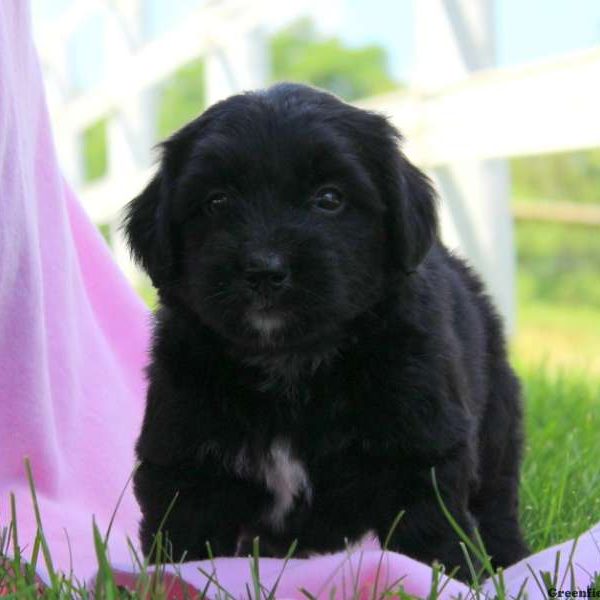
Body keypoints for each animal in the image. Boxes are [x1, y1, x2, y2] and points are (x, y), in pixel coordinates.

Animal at [124, 81, 528, 576]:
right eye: (216, 201)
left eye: (330, 199)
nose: (264, 269)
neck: (289, 362)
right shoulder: (184, 458)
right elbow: (182, 542)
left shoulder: (420, 447)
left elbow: (431, 532)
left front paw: (450, 578)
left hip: (497, 422)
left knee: (496, 498)